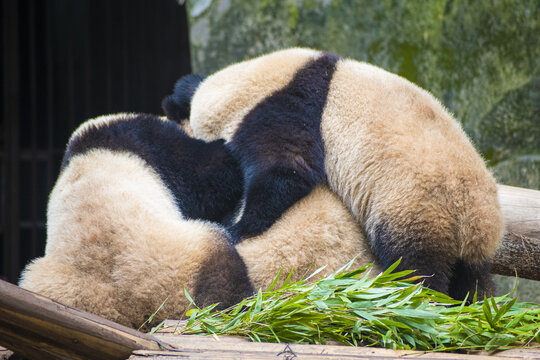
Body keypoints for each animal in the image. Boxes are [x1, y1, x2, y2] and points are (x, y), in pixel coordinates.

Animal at [19, 112, 378, 330]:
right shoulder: (149, 142)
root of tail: (125, 308)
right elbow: (210, 177)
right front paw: (226, 148)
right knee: (220, 271)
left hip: (52, 282)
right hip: (181, 256)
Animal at [162, 47, 504, 300]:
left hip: (416, 206)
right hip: (467, 241)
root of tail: (475, 225)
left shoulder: (285, 108)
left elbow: (288, 170)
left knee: (416, 264)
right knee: (472, 280)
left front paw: (239, 229)